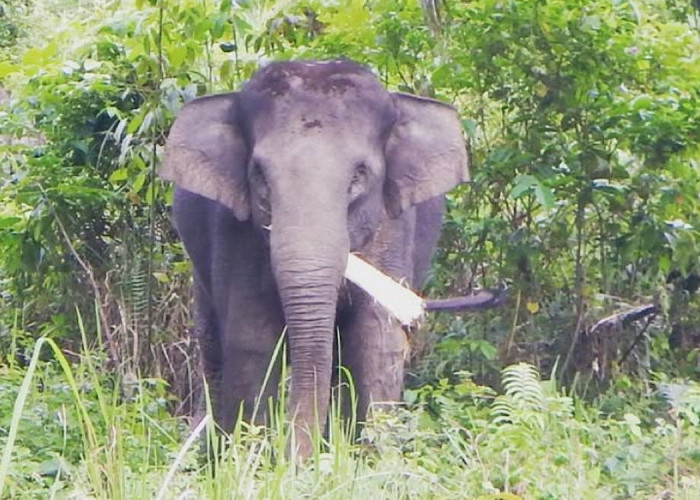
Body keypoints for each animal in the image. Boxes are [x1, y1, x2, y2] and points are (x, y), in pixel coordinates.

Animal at [160, 60, 470, 458]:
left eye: (359, 175)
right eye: (259, 176)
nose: (298, 459)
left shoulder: (394, 231)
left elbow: (375, 342)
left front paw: (370, 460)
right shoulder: (233, 232)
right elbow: (251, 340)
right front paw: (256, 459)